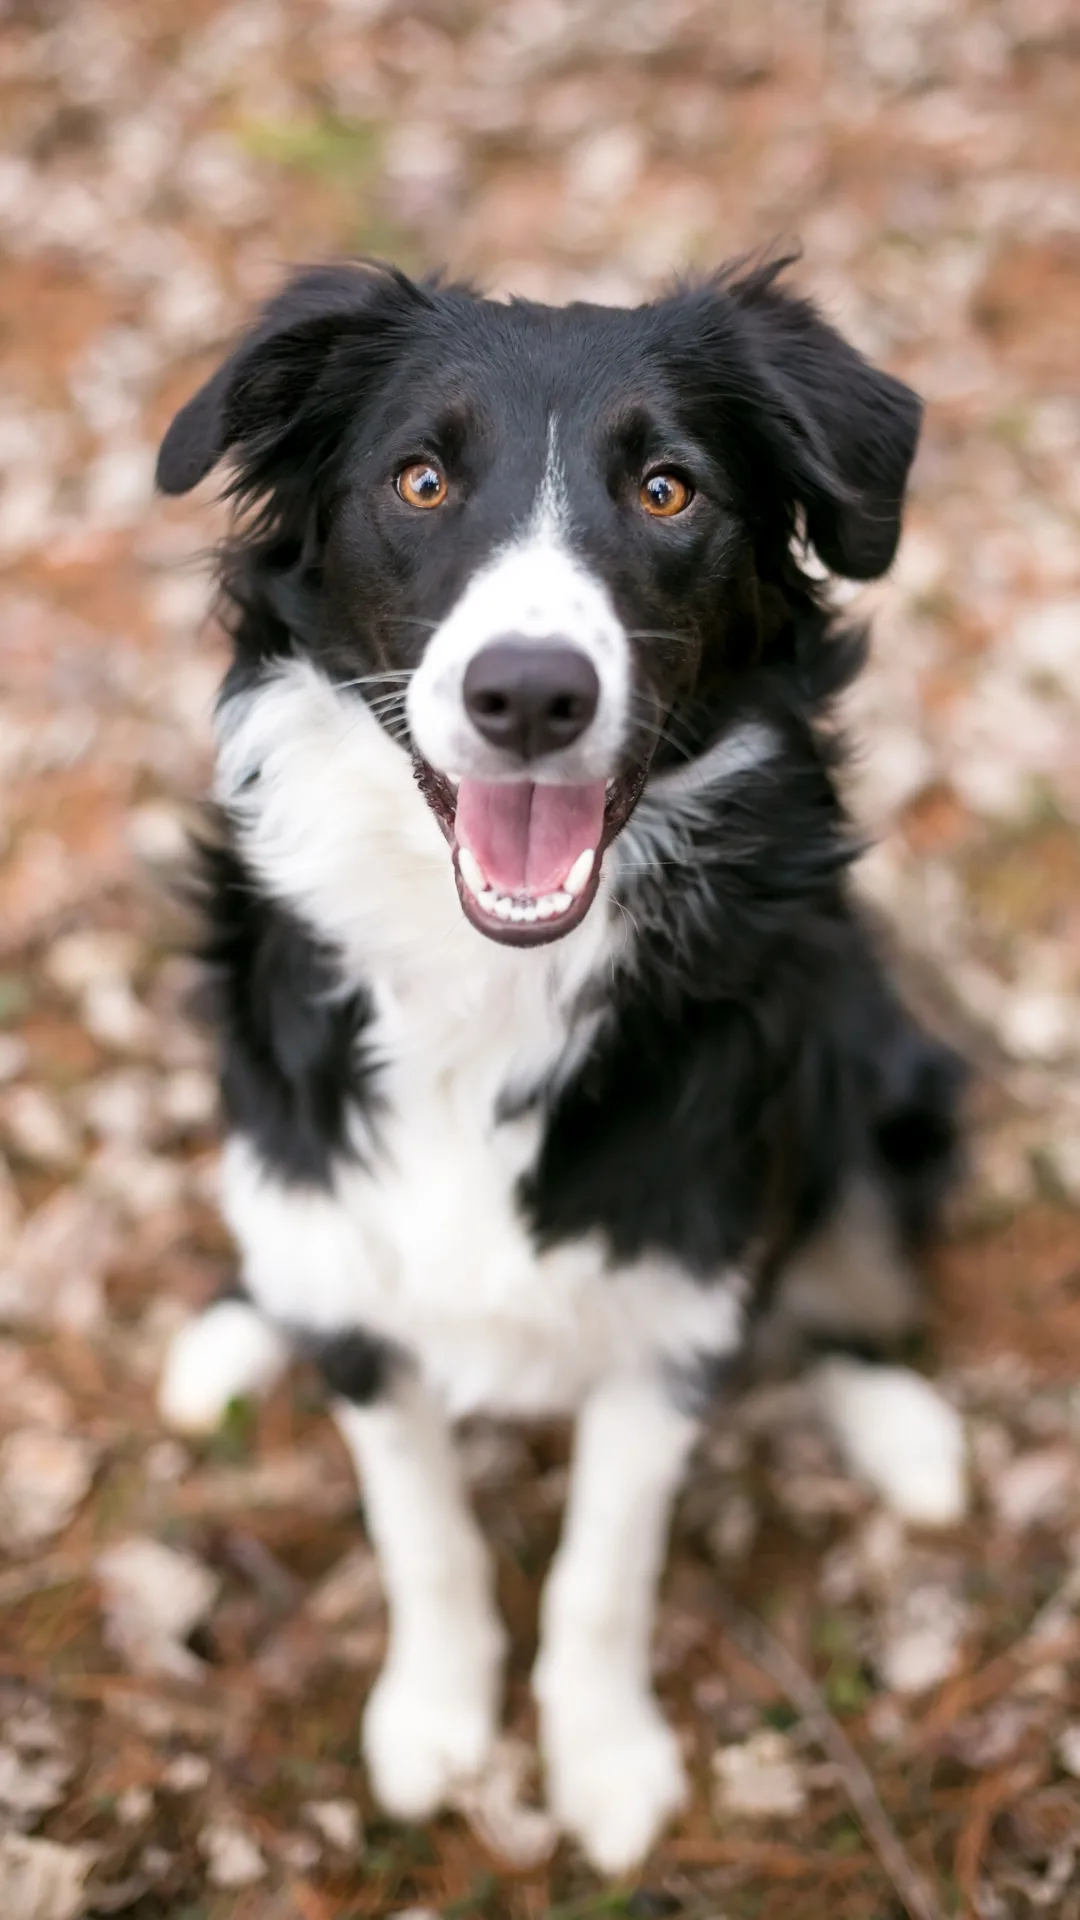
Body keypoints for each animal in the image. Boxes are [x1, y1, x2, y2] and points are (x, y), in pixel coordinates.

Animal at [153, 255, 968, 1873]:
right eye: (419, 480)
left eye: (667, 490)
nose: (530, 694)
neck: (495, 984)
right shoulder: (357, 1273)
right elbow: (422, 1533)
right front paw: (435, 1718)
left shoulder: (670, 1309)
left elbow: (603, 1569)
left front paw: (603, 1762)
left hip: (888, 1070)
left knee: (844, 1257)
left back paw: (900, 1426)